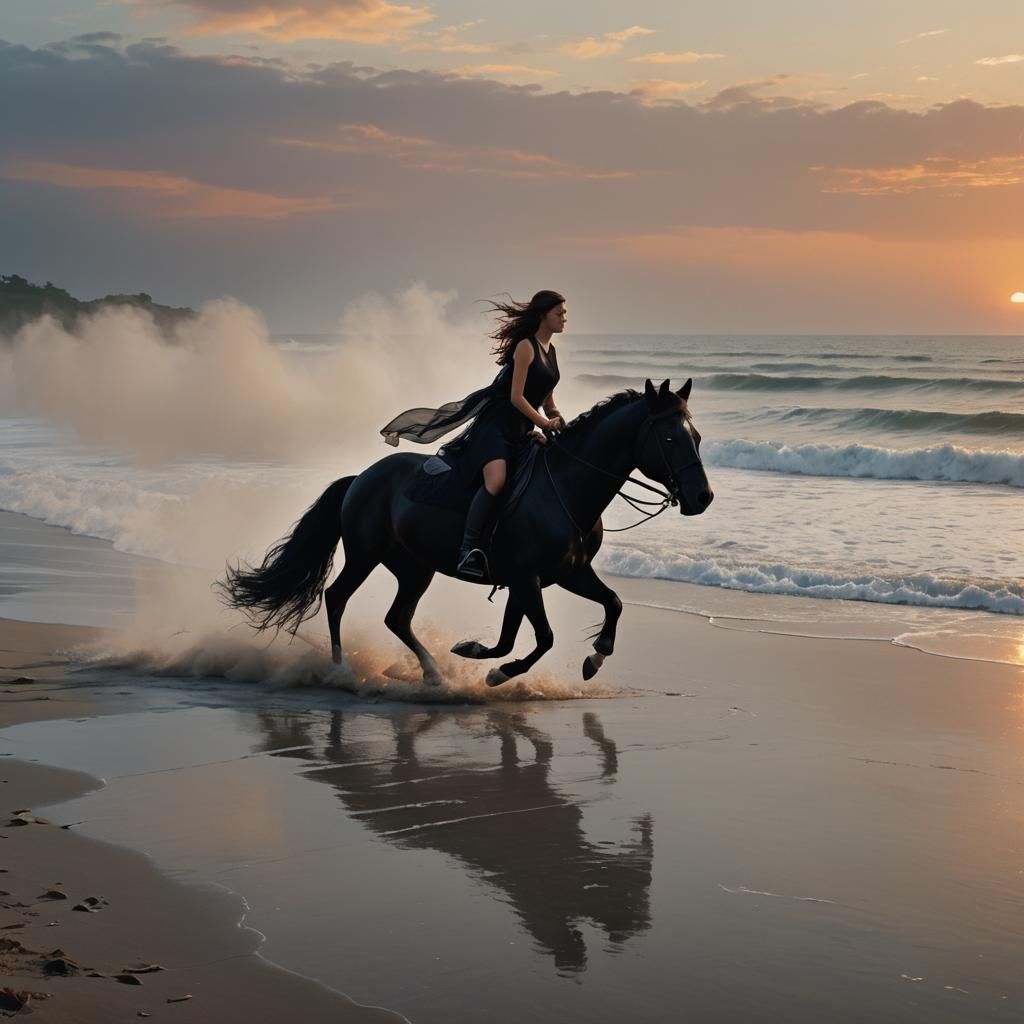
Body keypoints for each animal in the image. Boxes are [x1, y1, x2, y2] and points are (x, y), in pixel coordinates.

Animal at [218, 377, 713, 687]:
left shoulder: (560, 575)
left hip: (414, 568)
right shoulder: (529, 579)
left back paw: (432, 673)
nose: (702, 498)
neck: (566, 487)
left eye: (697, 437)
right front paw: (496, 672)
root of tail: (360, 477)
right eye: (670, 438)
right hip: (365, 555)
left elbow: (608, 605)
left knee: (397, 617)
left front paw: (592, 657)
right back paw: (341, 672)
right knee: (337, 597)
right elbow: (542, 638)